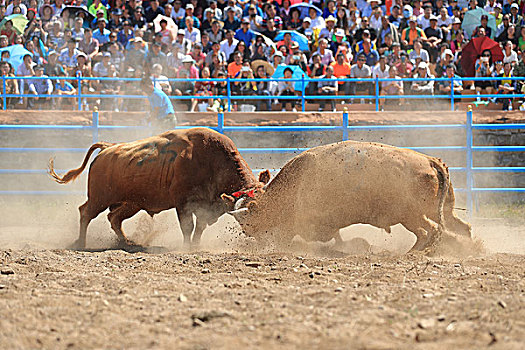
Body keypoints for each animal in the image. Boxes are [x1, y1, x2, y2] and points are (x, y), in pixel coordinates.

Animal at [49, 128, 268, 249]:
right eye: (251, 213)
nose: (265, 235)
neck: (211, 160)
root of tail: (107, 148)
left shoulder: (205, 206)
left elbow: (199, 228)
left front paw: (196, 246)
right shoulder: (183, 203)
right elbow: (188, 227)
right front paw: (186, 247)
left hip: (131, 203)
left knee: (114, 218)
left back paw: (126, 242)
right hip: (99, 198)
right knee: (85, 212)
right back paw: (81, 243)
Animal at [225, 140, 470, 252]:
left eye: (248, 225)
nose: (260, 244)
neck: (298, 183)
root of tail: (430, 160)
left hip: (412, 215)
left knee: (430, 231)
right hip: (439, 212)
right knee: (459, 228)